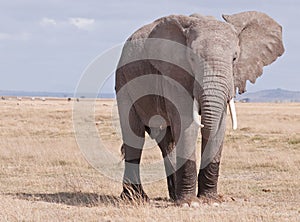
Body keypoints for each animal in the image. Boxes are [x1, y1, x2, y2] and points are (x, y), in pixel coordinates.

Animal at [114, 10, 284, 205]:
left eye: (234, 58)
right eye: (192, 58)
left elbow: (218, 126)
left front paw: (211, 200)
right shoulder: (173, 73)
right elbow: (186, 123)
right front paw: (190, 203)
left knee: (166, 141)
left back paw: (172, 196)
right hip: (123, 81)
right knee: (134, 136)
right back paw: (135, 198)